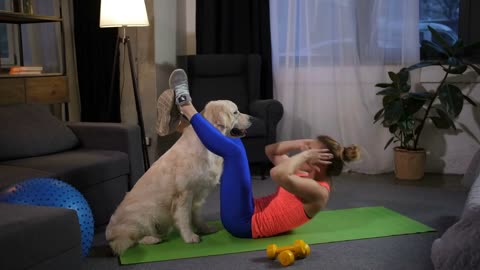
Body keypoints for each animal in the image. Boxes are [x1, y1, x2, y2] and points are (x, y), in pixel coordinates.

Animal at [105, 99, 251, 255]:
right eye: (235, 112)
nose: (251, 118)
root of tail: (110, 233)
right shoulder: (184, 194)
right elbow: (184, 217)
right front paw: (189, 237)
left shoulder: (199, 194)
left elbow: (197, 215)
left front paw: (205, 229)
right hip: (144, 215)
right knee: (131, 240)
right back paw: (152, 239)